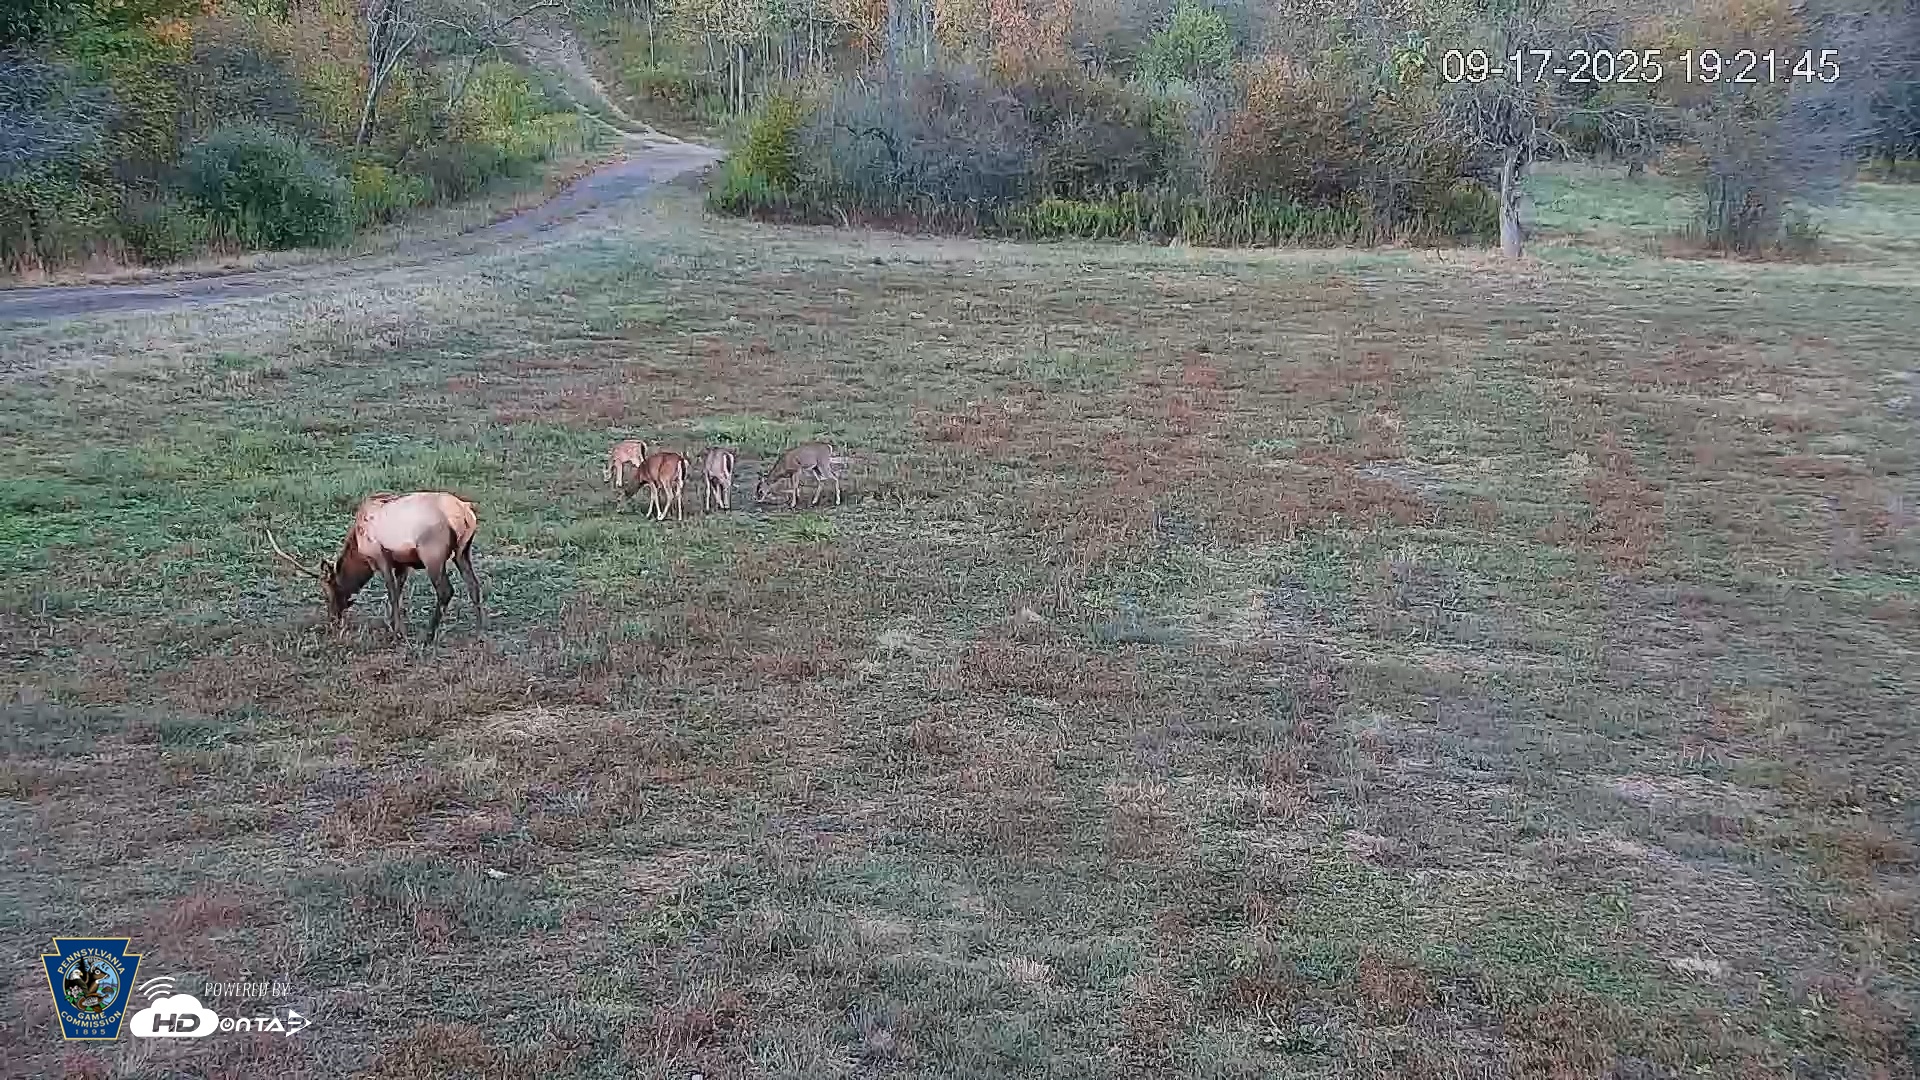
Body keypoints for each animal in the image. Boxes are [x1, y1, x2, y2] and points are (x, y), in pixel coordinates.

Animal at [266, 491, 484, 644]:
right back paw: (479, 632)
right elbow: (399, 590)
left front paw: (398, 632)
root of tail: (465, 515)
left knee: (446, 590)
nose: (333, 619)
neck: (358, 546)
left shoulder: (380, 557)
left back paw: (429, 636)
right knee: (474, 585)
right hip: (463, 552)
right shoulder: (402, 563)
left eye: (327, 592)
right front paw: (392, 624)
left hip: (432, 553)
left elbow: (392, 592)